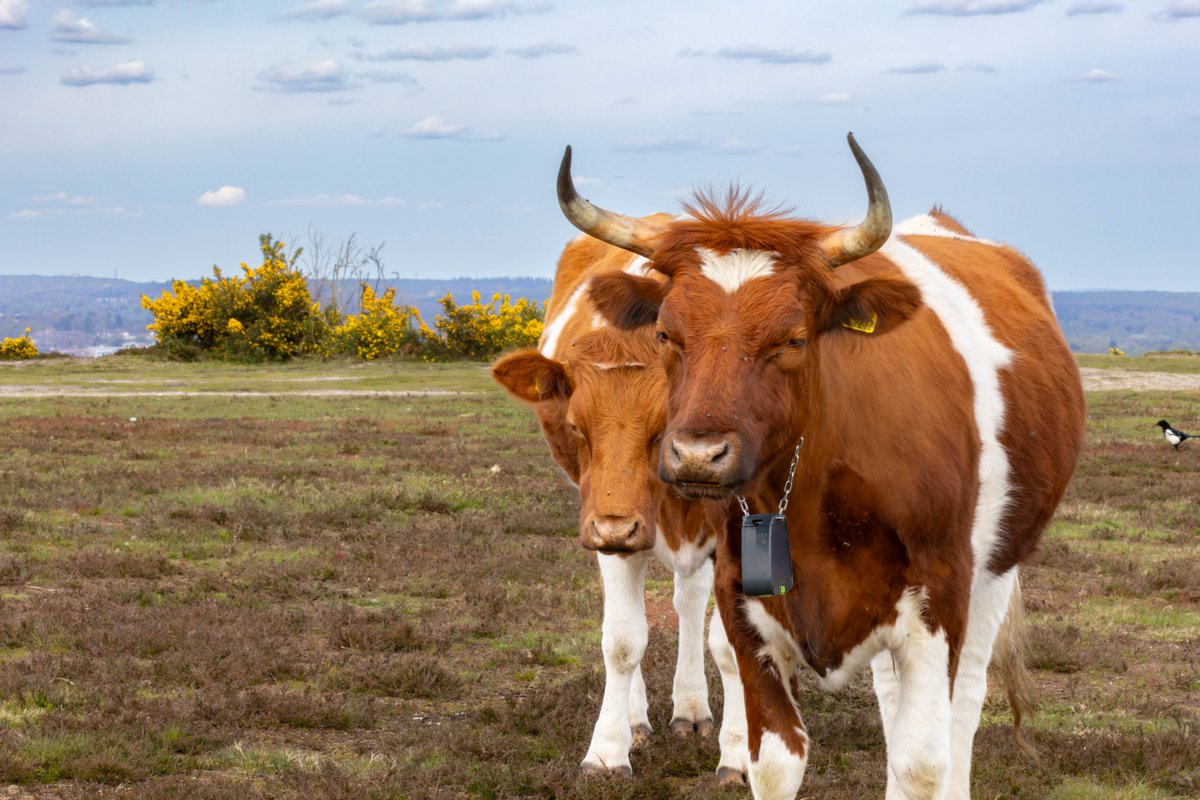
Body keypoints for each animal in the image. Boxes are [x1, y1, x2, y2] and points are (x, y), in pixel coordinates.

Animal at [554, 134, 1089, 796]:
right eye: (665, 334)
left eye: (792, 338)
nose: (698, 456)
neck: (810, 498)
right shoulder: (745, 603)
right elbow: (776, 761)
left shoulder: (937, 601)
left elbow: (922, 761)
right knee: (892, 701)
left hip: (995, 569)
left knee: (962, 706)